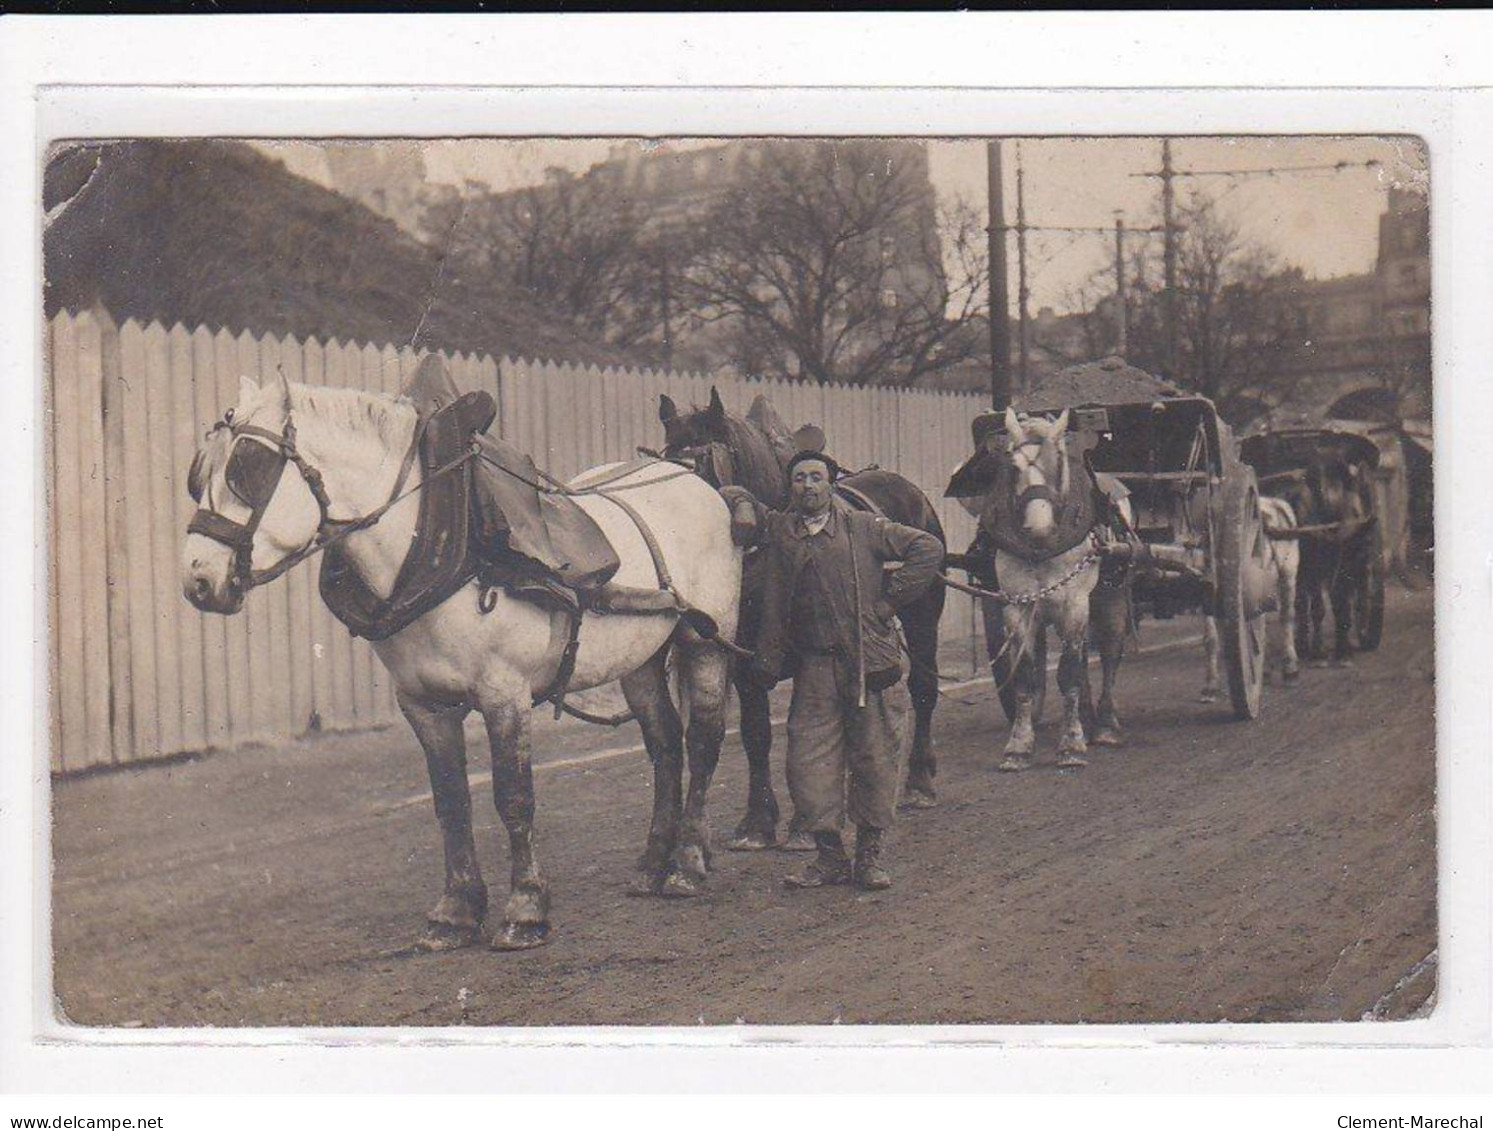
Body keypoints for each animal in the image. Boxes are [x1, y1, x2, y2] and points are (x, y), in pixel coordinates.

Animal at [182, 376, 740, 954]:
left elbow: (514, 797)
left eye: (246, 465)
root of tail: (693, 480)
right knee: (664, 745)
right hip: (642, 659)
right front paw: (455, 913)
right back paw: (653, 863)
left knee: (702, 740)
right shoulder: (424, 706)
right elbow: (451, 803)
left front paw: (526, 910)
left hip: (705, 642)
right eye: (198, 472)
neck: (436, 547)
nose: (198, 580)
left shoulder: (505, 694)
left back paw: (687, 864)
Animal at [662, 390, 949, 847]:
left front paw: (805, 821)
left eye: (701, 464)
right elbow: (757, 732)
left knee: (922, 689)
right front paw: (759, 821)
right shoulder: (746, 657)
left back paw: (919, 781)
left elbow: (810, 726)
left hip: (923, 617)